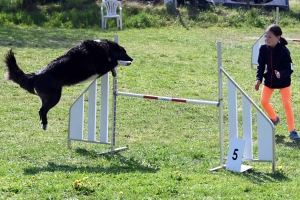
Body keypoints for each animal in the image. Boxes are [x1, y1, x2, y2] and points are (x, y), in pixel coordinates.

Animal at [3, 39, 132, 130]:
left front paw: (115, 72)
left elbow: (114, 65)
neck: (104, 47)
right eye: (124, 52)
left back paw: (42, 123)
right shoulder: (102, 67)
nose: (132, 59)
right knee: (42, 110)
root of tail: (36, 75)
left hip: (47, 97)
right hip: (55, 97)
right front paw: (122, 64)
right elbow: (115, 62)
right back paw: (45, 125)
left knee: (41, 110)